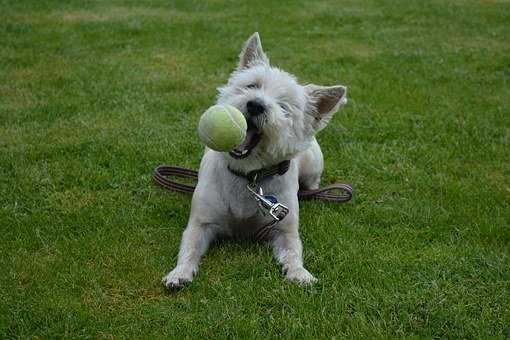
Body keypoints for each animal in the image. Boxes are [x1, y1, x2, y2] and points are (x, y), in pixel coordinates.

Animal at [163, 32, 346, 286]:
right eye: (252, 85)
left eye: (284, 107)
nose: (256, 104)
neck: (248, 176)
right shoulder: (201, 223)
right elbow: (189, 248)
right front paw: (179, 273)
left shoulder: (284, 228)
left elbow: (293, 251)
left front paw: (300, 273)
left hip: (313, 165)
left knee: (313, 182)